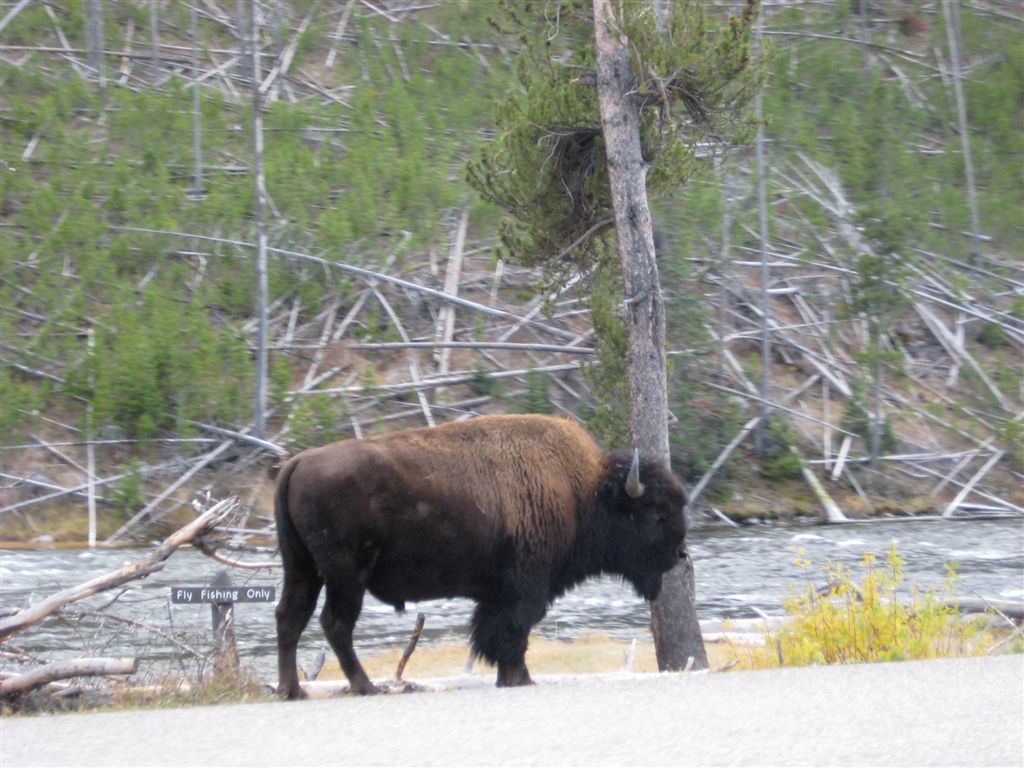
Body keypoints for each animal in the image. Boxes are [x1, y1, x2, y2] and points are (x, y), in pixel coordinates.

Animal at [272, 415, 688, 696]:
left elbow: (494, 633)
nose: (680, 554)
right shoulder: (526, 588)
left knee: (290, 617)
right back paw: (365, 686)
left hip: (301, 568)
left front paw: (510, 677)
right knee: (335, 623)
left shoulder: (496, 594)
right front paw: (520, 678)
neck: (582, 492)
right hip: (345, 576)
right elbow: (515, 631)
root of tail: (298, 462)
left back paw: (292, 690)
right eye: (656, 513)